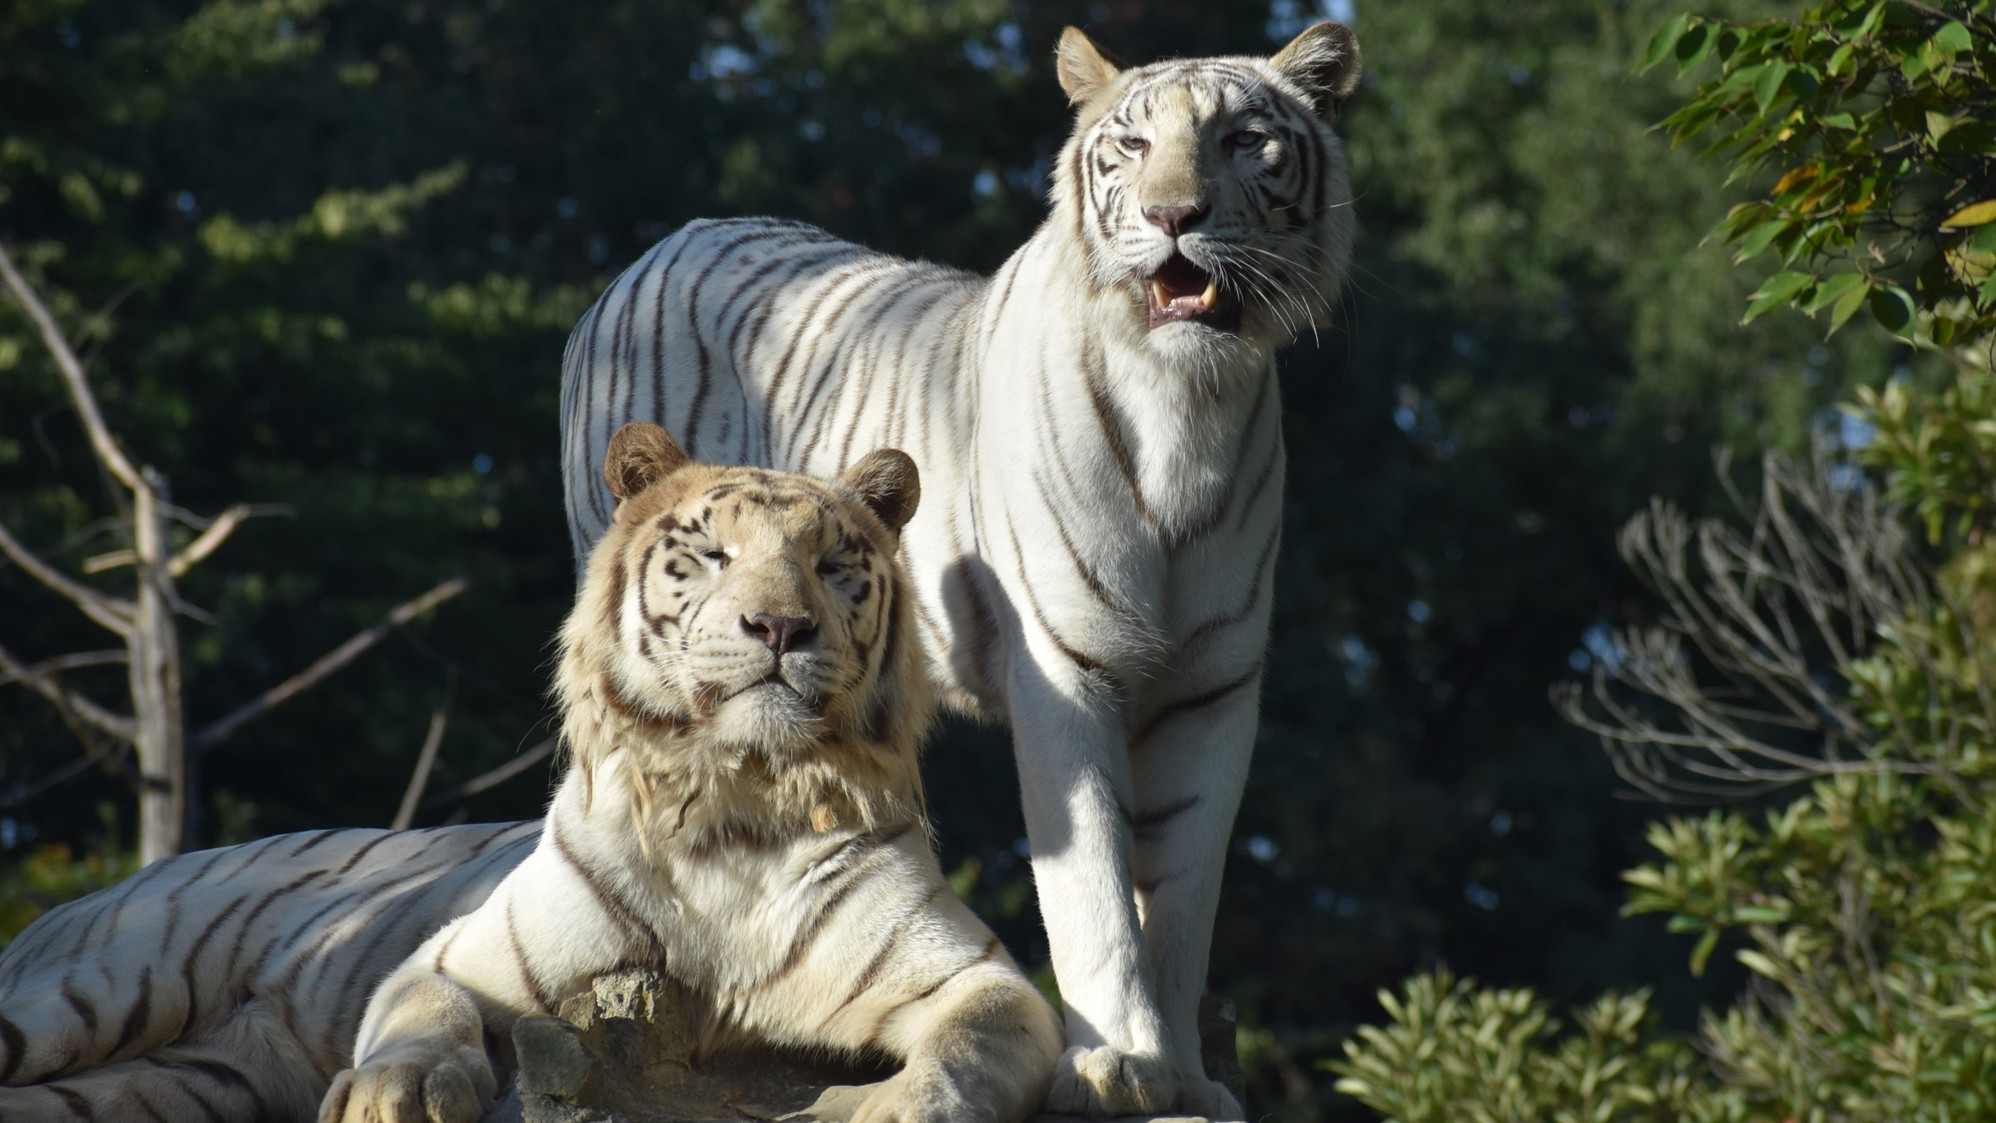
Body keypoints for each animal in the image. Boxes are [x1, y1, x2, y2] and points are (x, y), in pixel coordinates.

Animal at [0, 424, 1061, 1123]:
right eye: (713, 552)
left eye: (834, 563)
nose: (780, 626)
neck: (735, 801)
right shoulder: (455, 956)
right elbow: (423, 1010)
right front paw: (395, 1089)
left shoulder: (974, 974)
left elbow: (976, 1040)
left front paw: (893, 1103)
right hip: (86, 991)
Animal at [570, 21, 1365, 1117]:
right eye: (1129, 147)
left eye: (1246, 140)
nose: (1173, 215)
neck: (1187, 407)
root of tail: (660, 243)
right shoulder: (1067, 670)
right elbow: (1093, 891)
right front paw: (1115, 1064)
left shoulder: (1211, 687)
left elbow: (1183, 892)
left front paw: (1187, 1078)